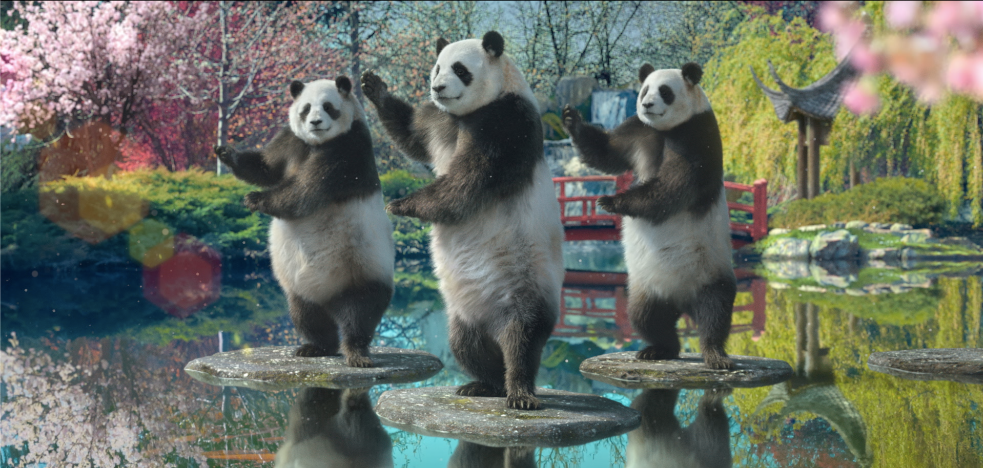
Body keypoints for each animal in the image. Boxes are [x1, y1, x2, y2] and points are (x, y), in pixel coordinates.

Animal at [214, 77, 395, 368]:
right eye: (306, 108)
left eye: (329, 107)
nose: (316, 123)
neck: (318, 143)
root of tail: (331, 299)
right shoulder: (291, 140)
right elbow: (265, 168)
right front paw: (226, 152)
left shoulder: (348, 149)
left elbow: (306, 191)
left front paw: (255, 199)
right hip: (301, 289)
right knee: (306, 315)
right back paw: (316, 347)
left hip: (363, 269)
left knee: (360, 313)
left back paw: (356, 353)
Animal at [360, 31, 564, 410]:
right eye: (436, 67)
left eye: (460, 69)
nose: (438, 88)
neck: (468, 113)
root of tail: (493, 323)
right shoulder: (439, 121)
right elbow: (411, 132)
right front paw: (372, 86)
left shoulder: (507, 121)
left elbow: (469, 180)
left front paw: (400, 204)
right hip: (463, 314)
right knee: (467, 345)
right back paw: (484, 384)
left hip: (526, 282)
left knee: (524, 338)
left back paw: (519, 391)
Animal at [561, 62, 736, 369]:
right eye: (645, 90)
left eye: (665, 92)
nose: (647, 104)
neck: (666, 129)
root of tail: (682, 303)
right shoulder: (638, 130)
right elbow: (607, 153)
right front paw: (572, 119)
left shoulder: (696, 135)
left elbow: (673, 185)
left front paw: (610, 201)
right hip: (646, 286)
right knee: (646, 316)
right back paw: (659, 348)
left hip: (709, 269)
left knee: (715, 309)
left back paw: (715, 354)